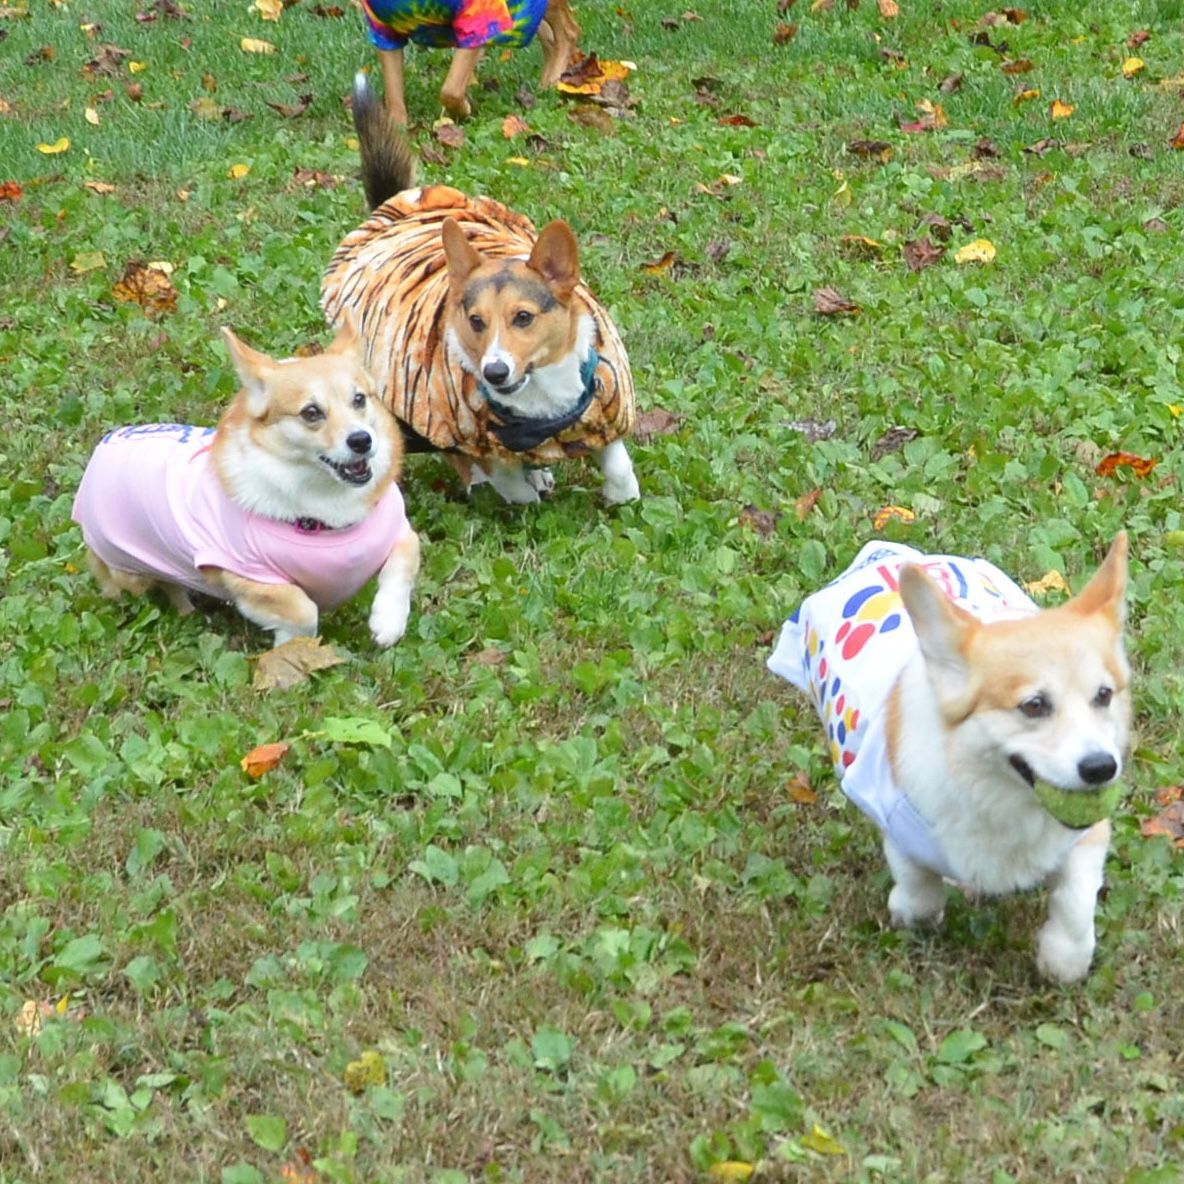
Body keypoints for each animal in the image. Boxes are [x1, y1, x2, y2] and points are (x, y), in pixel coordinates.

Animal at [70, 314, 421, 648]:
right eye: (311, 413)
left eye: (360, 399)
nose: (362, 440)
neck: (327, 511)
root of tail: (99, 455)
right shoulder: (249, 576)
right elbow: (302, 609)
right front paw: (292, 647)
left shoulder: (400, 533)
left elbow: (403, 564)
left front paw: (387, 623)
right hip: (132, 570)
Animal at [322, 69, 639, 504]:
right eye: (475, 321)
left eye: (523, 317)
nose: (495, 372)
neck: (541, 401)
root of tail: (394, 212)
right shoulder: (464, 434)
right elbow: (504, 478)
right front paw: (521, 494)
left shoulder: (604, 407)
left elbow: (618, 462)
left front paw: (622, 495)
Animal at [362, 0, 580, 122]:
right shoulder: (383, 29)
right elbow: (394, 94)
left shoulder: (476, 22)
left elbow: (450, 91)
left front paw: (464, 111)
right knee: (549, 38)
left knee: (569, 32)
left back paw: (553, 83)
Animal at [767, 535, 1127, 980]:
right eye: (1034, 706)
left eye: (1104, 695)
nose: (1101, 768)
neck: (1000, 798)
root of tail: (889, 551)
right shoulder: (899, 830)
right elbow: (920, 896)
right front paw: (908, 910)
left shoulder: (1085, 838)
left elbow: (1075, 906)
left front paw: (1061, 960)